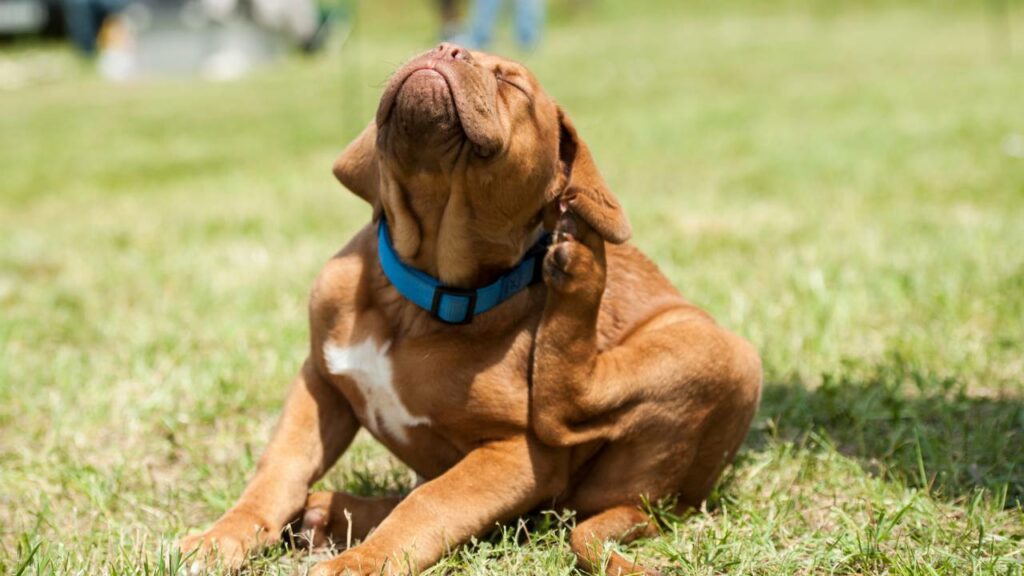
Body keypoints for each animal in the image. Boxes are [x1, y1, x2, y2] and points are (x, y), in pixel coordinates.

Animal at [182, 45, 761, 573]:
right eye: (435, 46)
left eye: (514, 85)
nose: (447, 48)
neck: (418, 295)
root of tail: (658, 505)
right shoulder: (320, 382)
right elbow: (279, 470)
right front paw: (222, 536)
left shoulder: (518, 455)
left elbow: (431, 505)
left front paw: (359, 564)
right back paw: (328, 514)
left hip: (718, 351)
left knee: (567, 410)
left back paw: (582, 265)